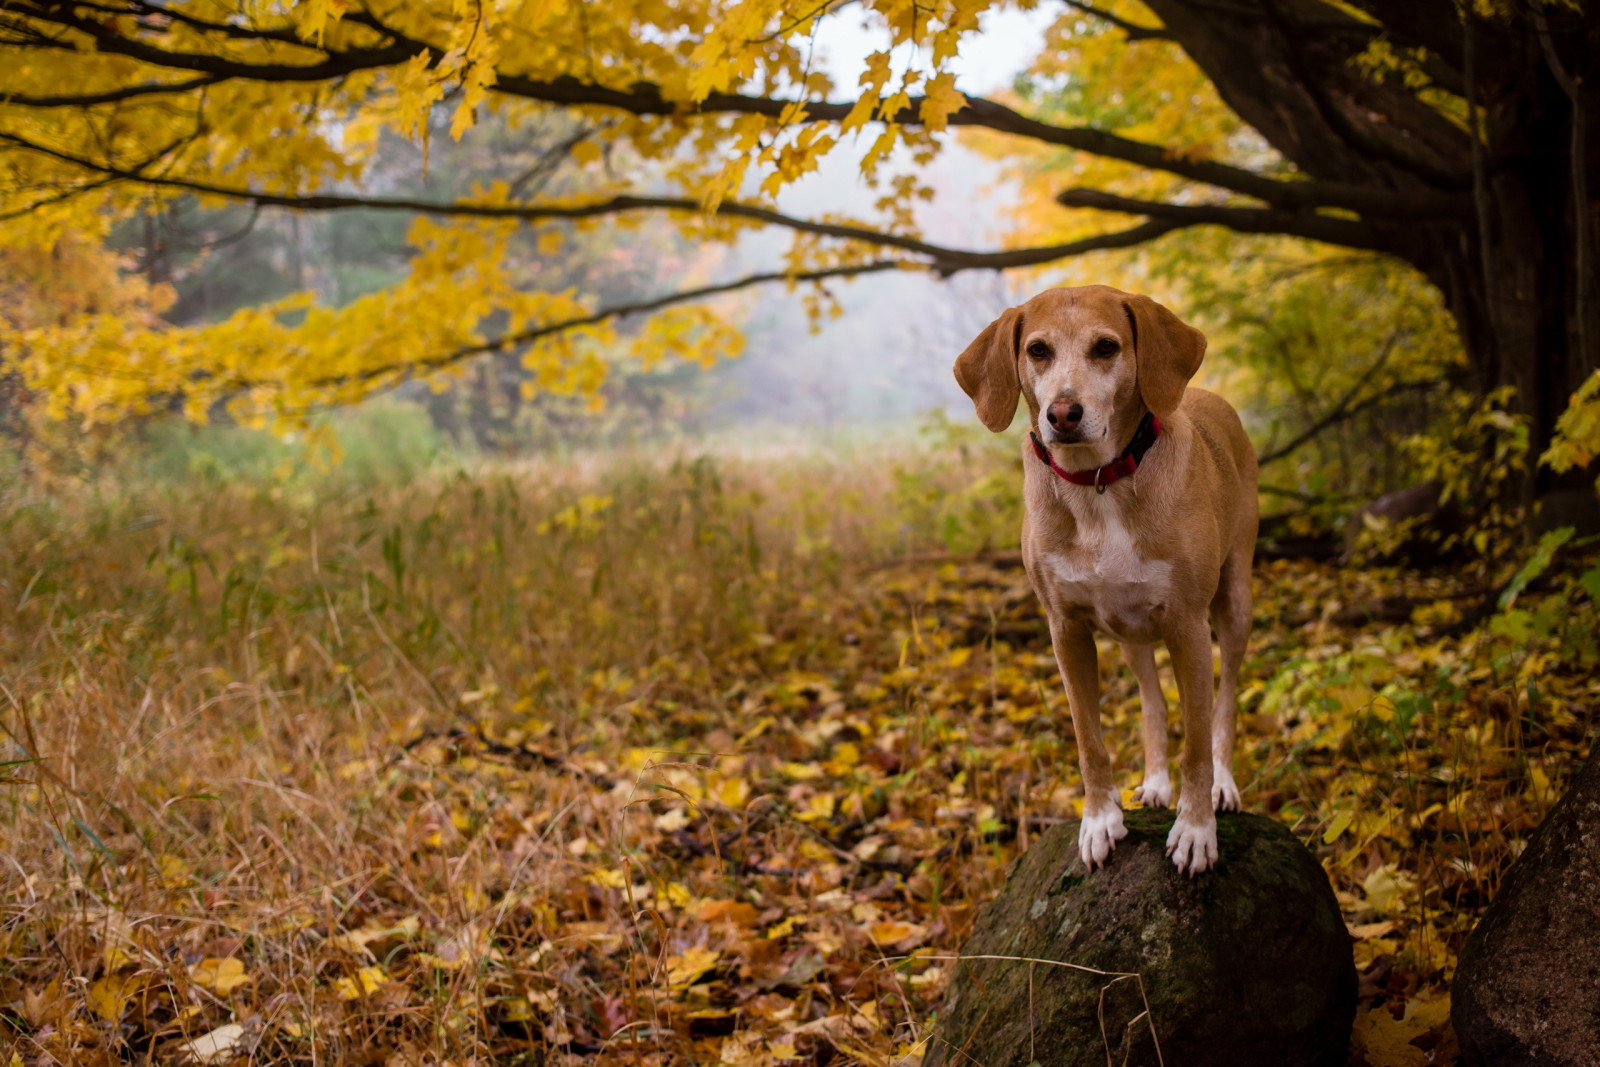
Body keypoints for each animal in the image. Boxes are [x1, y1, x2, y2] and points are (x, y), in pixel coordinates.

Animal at [953, 286, 1254, 876]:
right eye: (1038, 350)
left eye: (1106, 347)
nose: (1062, 413)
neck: (1099, 482)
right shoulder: (1067, 630)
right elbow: (1089, 738)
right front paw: (1098, 820)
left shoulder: (1188, 625)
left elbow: (1198, 739)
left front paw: (1196, 828)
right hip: (1129, 630)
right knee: (1152, 699)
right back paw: (1156, 781)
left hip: (1234, 603)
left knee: (1226, 700)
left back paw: (1224, 785)